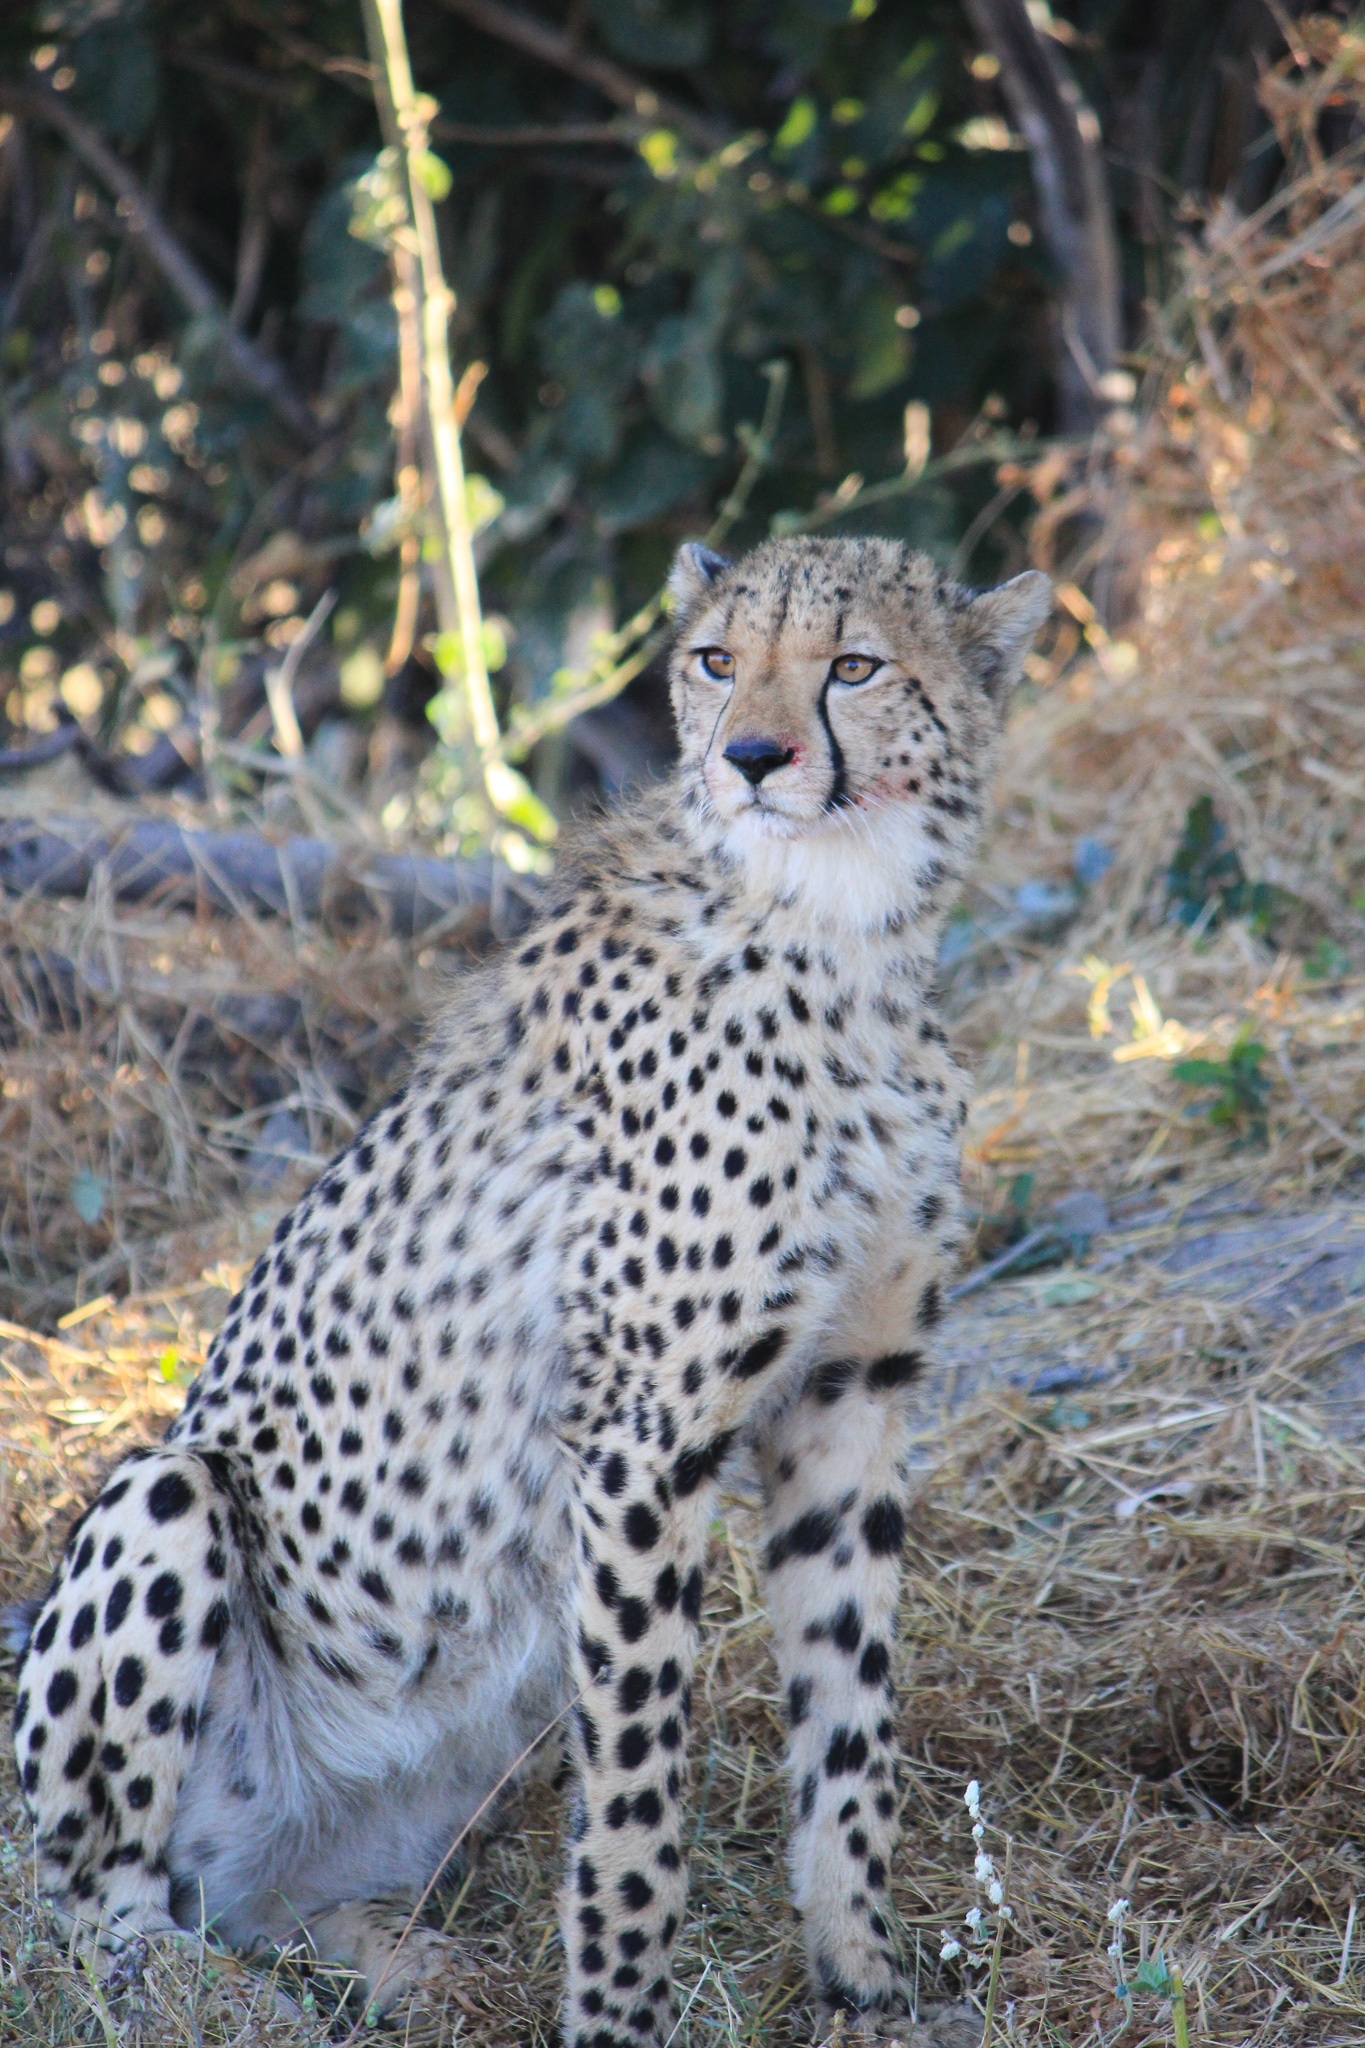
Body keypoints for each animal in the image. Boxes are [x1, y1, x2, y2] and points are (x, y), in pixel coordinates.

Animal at [7, 535, 1050, 2044]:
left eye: (854, 665)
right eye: (716, 659)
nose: (749, 756)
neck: (838, 925)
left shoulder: (851, 1391)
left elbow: (851, 1721)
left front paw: (866, 1983)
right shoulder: (642, 1434)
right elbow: (635, 1790)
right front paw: (619, 2014)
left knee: (265, 1904)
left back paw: (395, 1961)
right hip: (165, 1498)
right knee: (92, 1902)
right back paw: (187, 1991)